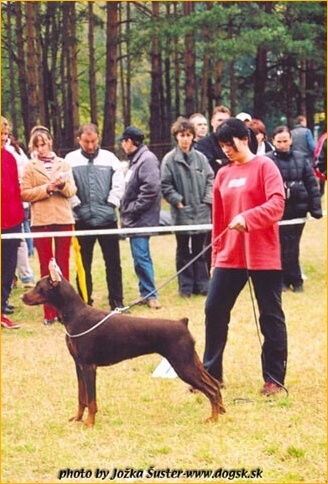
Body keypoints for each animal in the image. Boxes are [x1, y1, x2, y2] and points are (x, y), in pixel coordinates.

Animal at [21, 260, 224, 426]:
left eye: (39, 287)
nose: (23, 297)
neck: (76, 314)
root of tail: (182, 322)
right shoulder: (78, 365)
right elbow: (81, 397)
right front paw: (77, 418)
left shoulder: (89, 366)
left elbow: (91, 400)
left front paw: (89, 423)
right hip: (192, 362)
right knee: (214, 384)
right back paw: (221, 411)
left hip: (183, 365)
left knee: (211, 390)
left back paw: (213, 418)